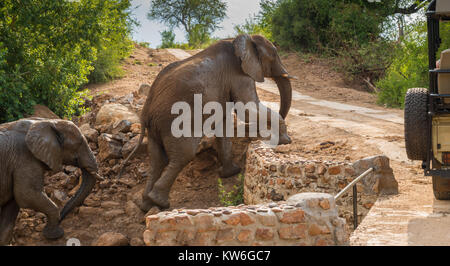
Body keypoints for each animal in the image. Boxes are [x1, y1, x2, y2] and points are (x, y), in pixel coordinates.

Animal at [121, 33, 294, 212]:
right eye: (273, 55)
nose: (274, 136)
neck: (241, 39)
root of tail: (146, 111)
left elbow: (224, 124)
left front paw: (231, 172)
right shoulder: (239, 75)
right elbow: (248, 110)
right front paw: (285, 140)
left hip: (155, 128)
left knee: (157, 160)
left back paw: (146, 205)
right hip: (172, 122)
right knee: (182, 156)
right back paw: (161, 203)